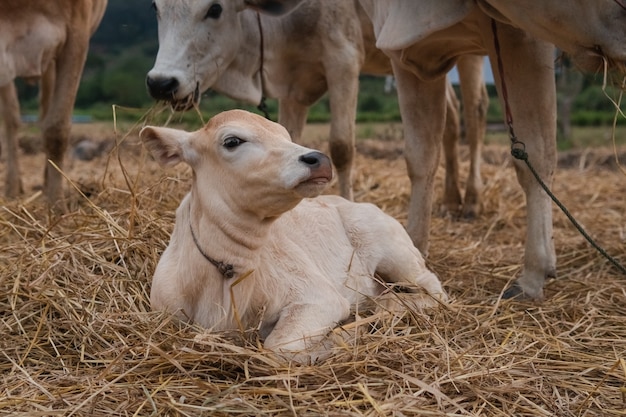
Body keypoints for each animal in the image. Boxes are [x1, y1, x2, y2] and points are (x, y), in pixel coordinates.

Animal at [140, 109, 446, 360]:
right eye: (232, 141)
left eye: (285, 135)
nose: (319, 159)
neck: (229, 273)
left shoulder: (320, 298)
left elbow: (278, 349)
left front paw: (348, 332)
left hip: (395, 253)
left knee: (434, 290)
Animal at [146, 0, 488, 214]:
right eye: (155, 8)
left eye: (214, 8)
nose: (161, 83)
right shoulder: (293, 89)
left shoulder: (344, 61)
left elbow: (341, 147)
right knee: (451, 119)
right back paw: (450, 199)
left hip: (465, 49)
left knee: (475, 112)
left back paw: (472, 200)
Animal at [358, 0, 624, 300]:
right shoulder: (406, 45)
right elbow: (421, 157)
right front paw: (411, 250)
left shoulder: (524, 35)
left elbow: (537, 155)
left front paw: (533, 274)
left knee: (476, 112)